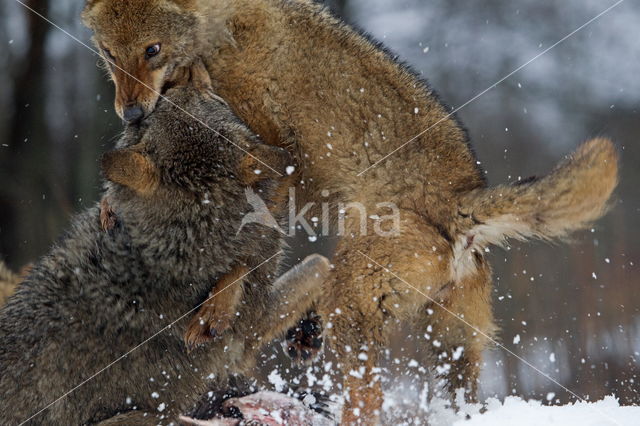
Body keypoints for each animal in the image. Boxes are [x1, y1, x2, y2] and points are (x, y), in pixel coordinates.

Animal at [82, 0, 616, 422]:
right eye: (109, 54)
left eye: (152, 50)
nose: (131, 113)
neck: (219, 35)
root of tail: (463, 201)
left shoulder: (277, 163)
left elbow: (247, 254)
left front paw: (216, 309)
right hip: (453, 349)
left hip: (355, 307)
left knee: (366, 403)